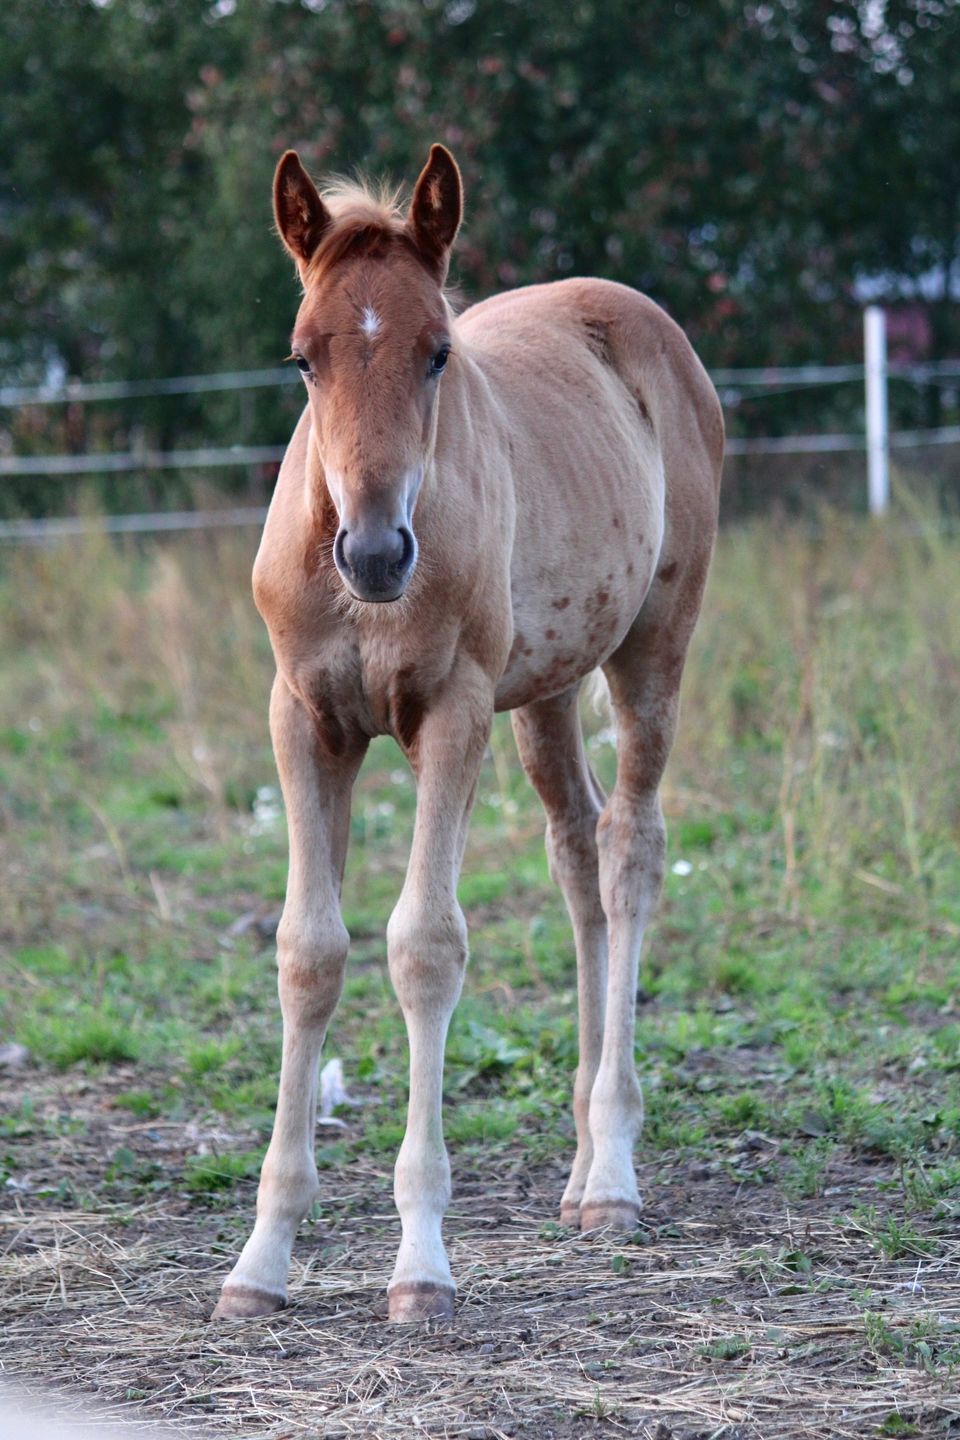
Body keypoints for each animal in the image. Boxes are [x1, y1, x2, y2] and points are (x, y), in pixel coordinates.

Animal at [210, 140, 719, 1319]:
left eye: (440, 352)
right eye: (301, 359)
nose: (374, 553)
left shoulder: (453, 710)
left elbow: (425, 946)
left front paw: (421, 1263)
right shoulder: (303, 717)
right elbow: (308, 952)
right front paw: (260, 1261)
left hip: (650, 650)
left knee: (632, 850)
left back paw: (613, 1173)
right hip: (547, 686)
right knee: (578, 853)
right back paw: (579, 1167)